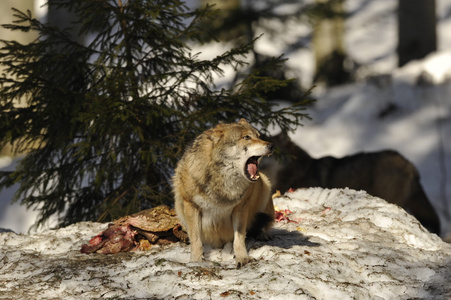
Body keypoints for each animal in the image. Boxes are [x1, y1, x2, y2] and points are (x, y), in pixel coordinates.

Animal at [174, 118, 276, 266]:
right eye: (246, 137)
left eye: (259, 136)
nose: (272, 145)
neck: (222, 181)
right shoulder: (191, 205)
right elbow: (196, 240)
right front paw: (196, 261)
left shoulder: (241, 207)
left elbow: (239, 238)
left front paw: (242, 258)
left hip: (265, 186)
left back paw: (262, 234)